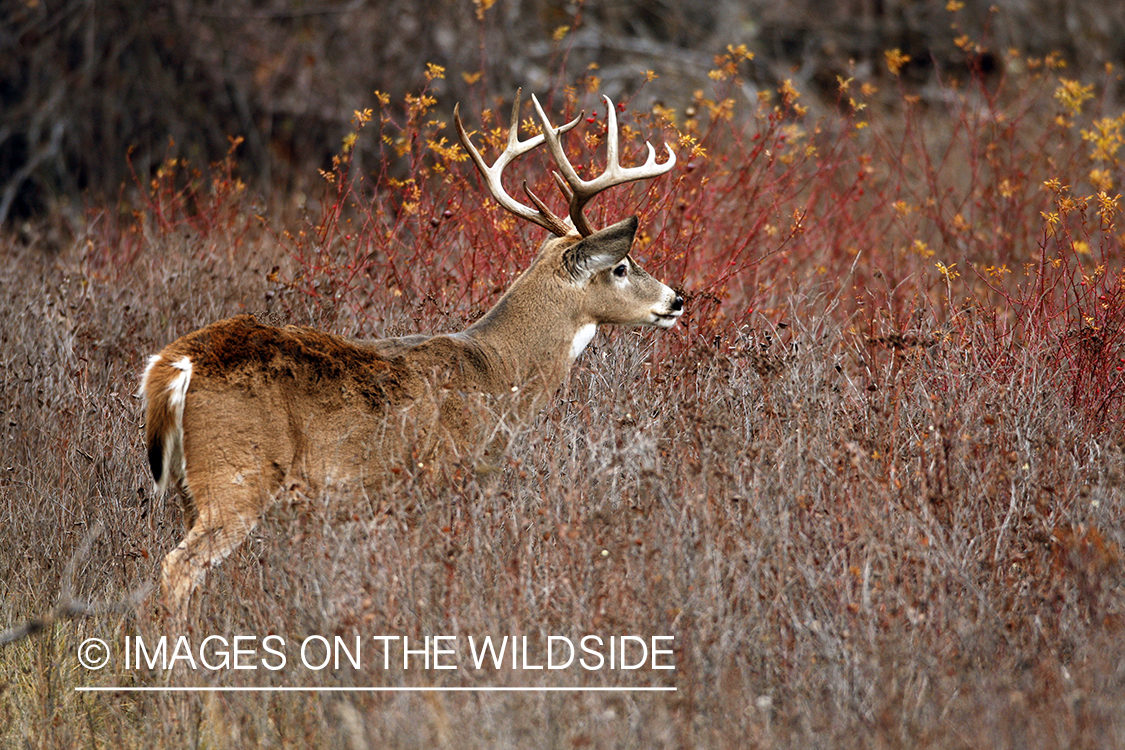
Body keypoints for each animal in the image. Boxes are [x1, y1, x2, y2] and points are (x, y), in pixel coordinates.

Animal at [145, 91, 679, 611]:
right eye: (622, 266)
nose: (676, 300)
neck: (497, 373)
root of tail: (173, 367)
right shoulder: (446, 475)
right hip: (236, 475)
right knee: (176, 568)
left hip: (188, 487)